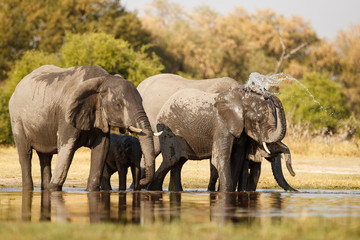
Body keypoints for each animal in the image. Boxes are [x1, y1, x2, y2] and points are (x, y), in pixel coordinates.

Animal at [9, 64, 155, 191]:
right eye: (118, 104)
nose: (143, 181)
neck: (103, 79)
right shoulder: (66, 114)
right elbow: (66, 148)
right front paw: (54, 189)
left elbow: (102, 148)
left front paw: (91, 190)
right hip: (17, 119)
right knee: (25, 154)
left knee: (45, 157)